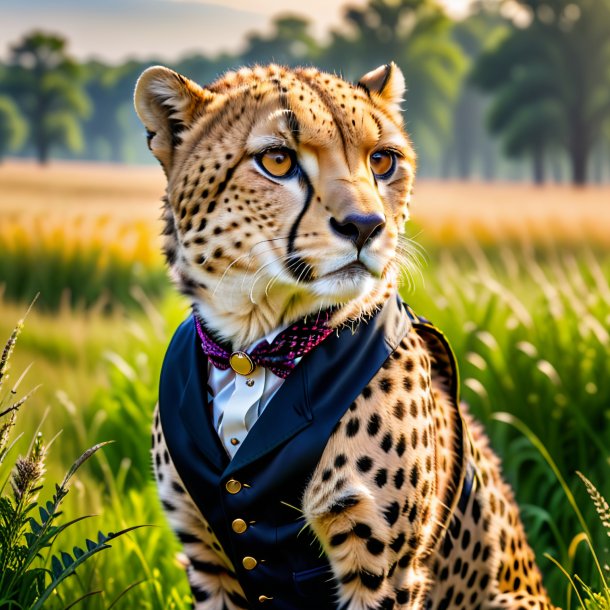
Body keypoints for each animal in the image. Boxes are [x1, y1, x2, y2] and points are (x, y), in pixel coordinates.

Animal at [133, 61, 556, 608]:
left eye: (382, 160)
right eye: (277, 160)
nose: (365, 226)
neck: (255, 345)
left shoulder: (385, 567)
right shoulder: (205, 556)